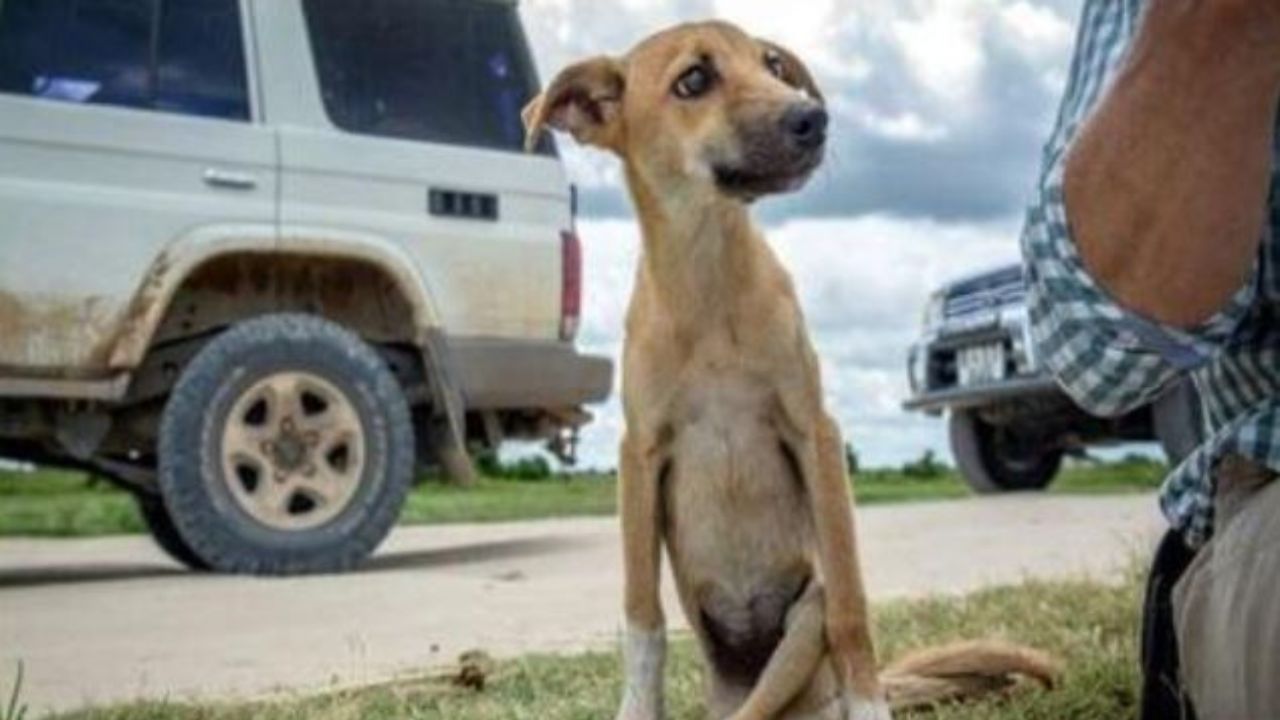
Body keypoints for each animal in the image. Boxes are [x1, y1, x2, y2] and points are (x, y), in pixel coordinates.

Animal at [522, 19, 1059, 712]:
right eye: (693, 79)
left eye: (773, 65)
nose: (814, 118)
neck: (710, 285)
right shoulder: (638, 455)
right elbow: (642, 617)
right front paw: (637, 709)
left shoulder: (815, 435)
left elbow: (853, 606)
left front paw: (871, 710)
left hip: (803, 622)